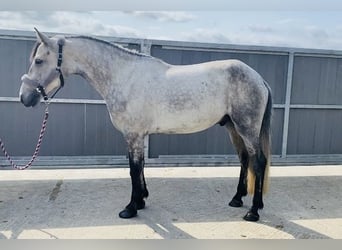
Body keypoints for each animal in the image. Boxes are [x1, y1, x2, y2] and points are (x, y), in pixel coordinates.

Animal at [19, 29, 272, 223]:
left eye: (39, 60)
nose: (25, 97)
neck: (124, 76)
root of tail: (259, 78)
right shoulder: (137, 136)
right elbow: (139, 167)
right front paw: (141, 201)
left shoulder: (133, 135)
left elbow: (133, 169)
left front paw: (130, 208)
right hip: (233, 127)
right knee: (244, 159)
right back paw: (237, 199)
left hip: (246, 128)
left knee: (258, 161)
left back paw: (253, 211)